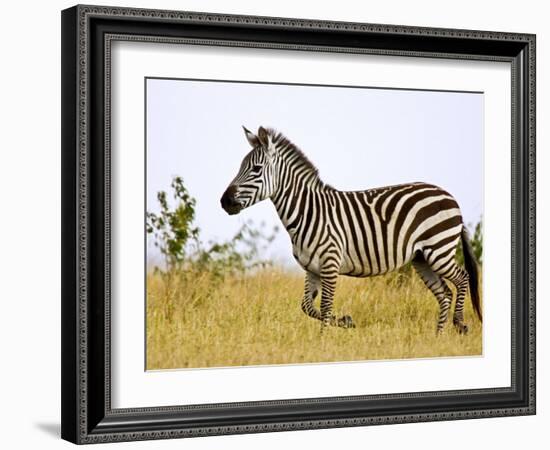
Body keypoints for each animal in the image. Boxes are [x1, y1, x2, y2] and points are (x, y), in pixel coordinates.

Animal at [221, 126, 484, 334]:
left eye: (255, 169)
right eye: (241, 167)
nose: (224, 201)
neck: (308, 211)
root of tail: (449, 195)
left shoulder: (330, 263)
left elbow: (325, 306)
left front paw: (322, 342)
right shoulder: (312, 268)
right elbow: (307, 307)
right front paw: (346, 322)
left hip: (438, 249)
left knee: (462, 278)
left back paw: (459, 324)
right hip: (422, 258)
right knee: (444, 293)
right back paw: (438, 336)